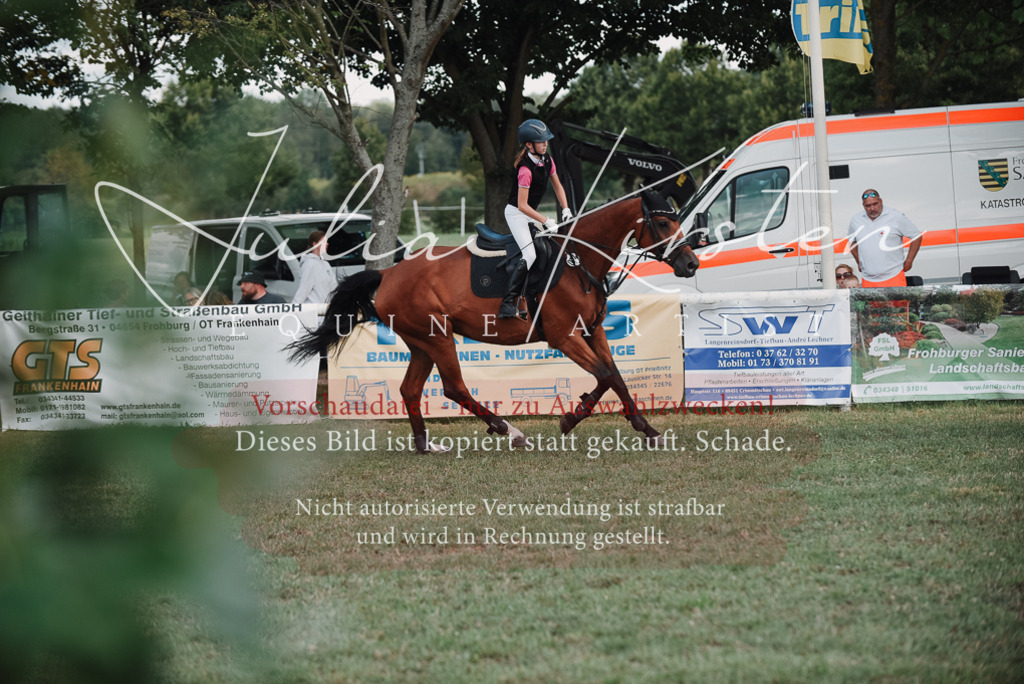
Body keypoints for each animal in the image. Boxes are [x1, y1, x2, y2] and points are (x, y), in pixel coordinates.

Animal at [287, 191, 700, 453]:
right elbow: (604, 376)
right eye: (663, 223)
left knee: (410, 390)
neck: (576, 260)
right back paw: (509, 430)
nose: (691, 263)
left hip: (422, 343)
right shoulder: (565, 337)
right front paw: (570, 419)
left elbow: (615, 377)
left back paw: (426, 446)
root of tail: (388, 274)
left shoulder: (593, 331)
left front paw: (647, 430)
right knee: (454, 388)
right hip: (439, 337)